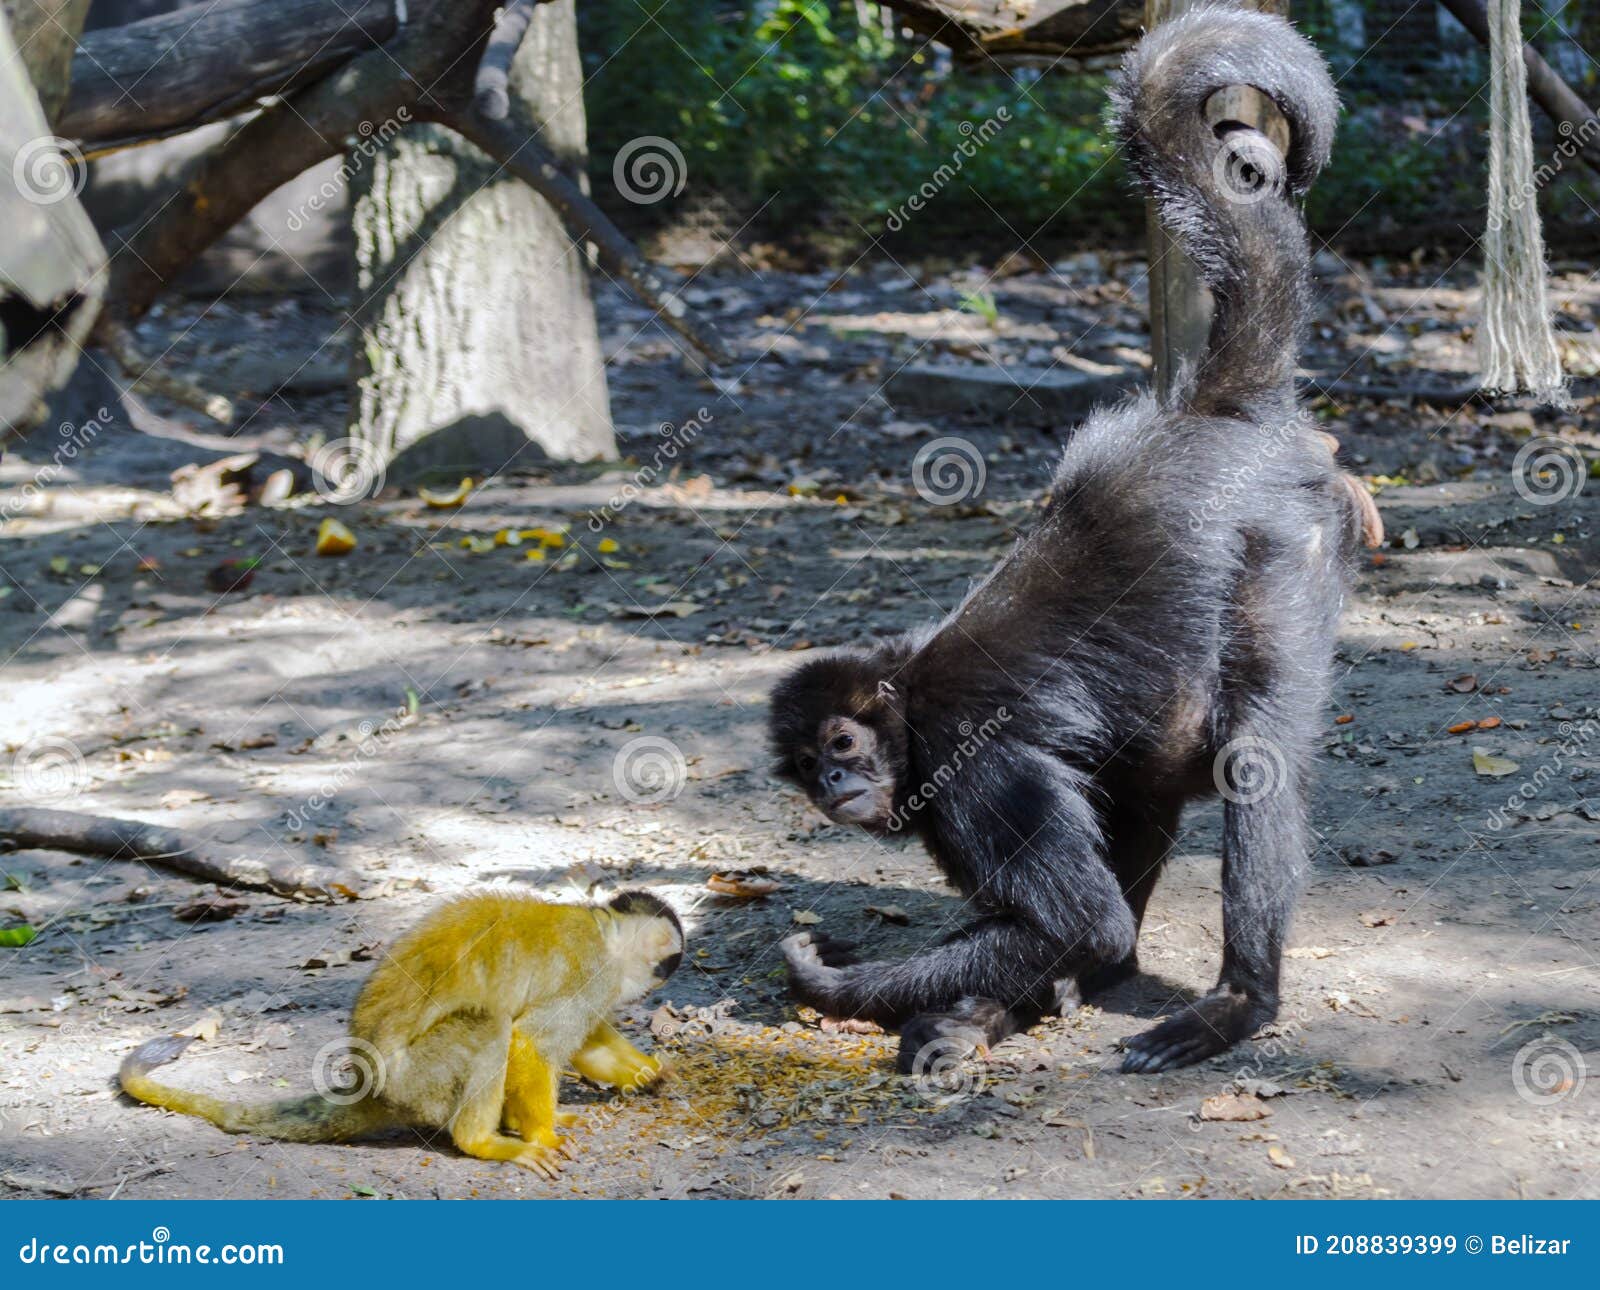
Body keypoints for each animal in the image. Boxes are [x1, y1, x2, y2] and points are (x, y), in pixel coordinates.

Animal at [116, 889, 681, 1184]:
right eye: (665, 965)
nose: (659, 983)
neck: (602, 930)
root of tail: (371, 1087)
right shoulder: (594, 972)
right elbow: (530, 1039)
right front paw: (541, 1136)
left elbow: (584, 1039)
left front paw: (649, 1074)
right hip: (420, 1081)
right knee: (491, 1024)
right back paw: (485, 1140)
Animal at [768, 5, 1356, 1075]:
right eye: (805, 761)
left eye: (841, 742)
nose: (830, 783)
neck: (909, 700)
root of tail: (1205, 412)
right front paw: (986, 1011)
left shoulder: (970, 771)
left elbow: (1085, 921)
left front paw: (825, 980)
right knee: (1145, 776)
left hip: (1282, 546)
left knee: (1249, 760)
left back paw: (1240, 1003)